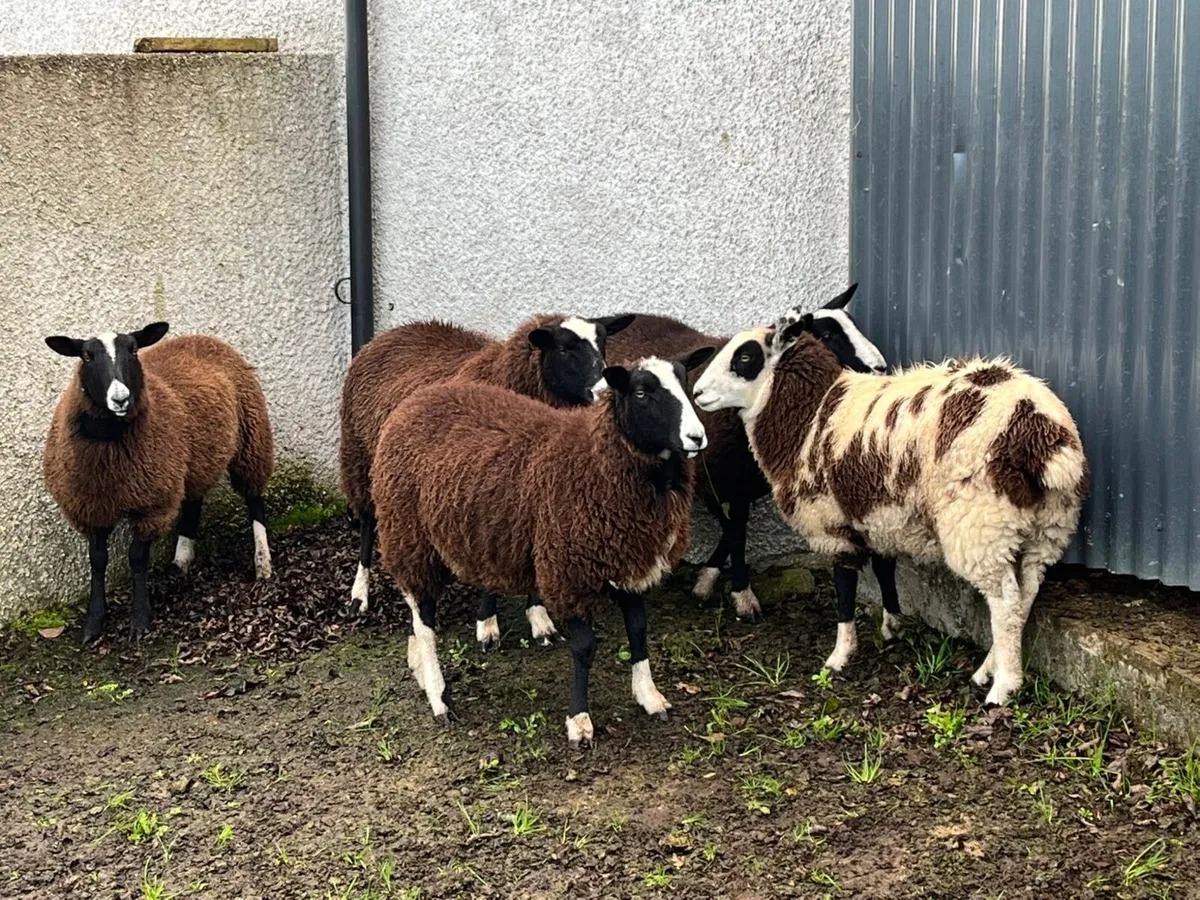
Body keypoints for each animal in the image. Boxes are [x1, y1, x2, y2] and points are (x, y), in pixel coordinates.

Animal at [43, 323, 274, 644]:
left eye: (133, 350)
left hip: (251, 435)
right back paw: (181, 562)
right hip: (194, 459)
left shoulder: (152, 503)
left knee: (254, 500)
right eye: (86, 356)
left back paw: (263, 564)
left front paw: (140, 620)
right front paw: (94, 623)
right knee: (193, 501)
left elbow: (137, 558)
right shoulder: (92, 507)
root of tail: (203, 337)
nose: (120, 399)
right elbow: (98, 560)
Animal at [339, 313, 634, 636]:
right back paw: (359, 594)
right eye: (563, 349)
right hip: (363, 459)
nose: (603, 392)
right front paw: (487, 624)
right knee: (368, 525)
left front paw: (538, 617)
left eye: (603, 342)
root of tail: (391, 332)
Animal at [371, 348, 714, 745]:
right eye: (642, 393)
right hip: (409, 533)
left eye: (686, 383)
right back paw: (439, 697)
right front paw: (579, 721)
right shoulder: (571, 569)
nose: (697, 438)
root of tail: (416, 400)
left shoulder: (629, 560)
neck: (596, 459)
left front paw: (649, 696)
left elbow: (639, 632)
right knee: (424, 617)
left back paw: (419, 667)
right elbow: (584, 648)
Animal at [692, 288, 1088, 706]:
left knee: (1006, 602)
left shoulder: (830, 520)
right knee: (1025, 596)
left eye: (745, 357)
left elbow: (844, 589)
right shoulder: (877, 513)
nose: (697, 393)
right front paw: (892, 625)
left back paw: (1004, 686)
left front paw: (839, 656)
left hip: (981, 524)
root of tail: (1041, 434)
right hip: (1047, 528)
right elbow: (884, 569)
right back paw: (988, 669)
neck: (811, 412)